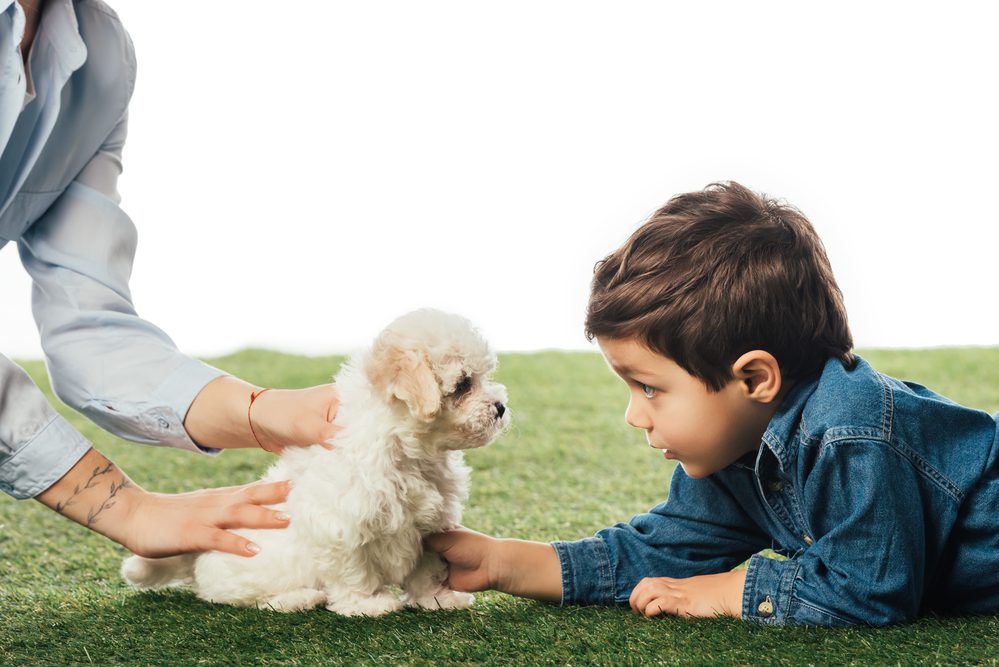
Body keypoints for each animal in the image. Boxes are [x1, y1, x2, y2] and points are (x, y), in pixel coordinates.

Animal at [122, 310, 512, 620]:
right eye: (463, 384)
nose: (500, 407)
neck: (409, 450)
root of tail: (198, 557)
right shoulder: (341, 528)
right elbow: (354, 571)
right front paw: (366, 604)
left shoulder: (428, 526)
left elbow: (427, 567)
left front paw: (437, 598)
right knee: (241, 599)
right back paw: (299, 598)